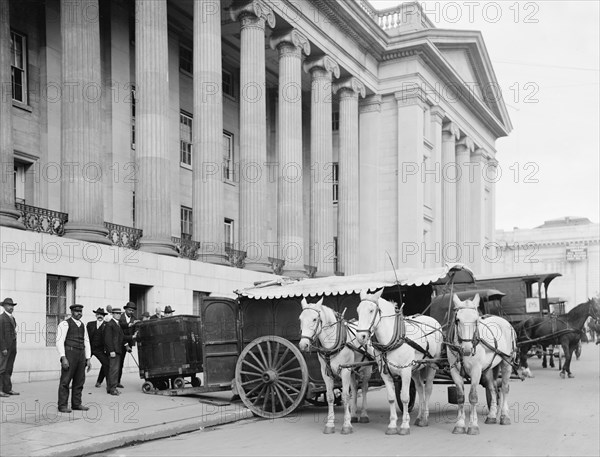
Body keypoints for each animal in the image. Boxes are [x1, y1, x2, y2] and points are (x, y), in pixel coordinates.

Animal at [298, 298, 372, 432]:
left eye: (315, 319)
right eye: (300, 319)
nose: (303, 345)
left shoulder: (345, 370)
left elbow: (345, 396)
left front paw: (346, 425)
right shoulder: (326, 373)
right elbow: (330, 397)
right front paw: (330, 424)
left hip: (366, 368)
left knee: (364, 388)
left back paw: (364, 415)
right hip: (353, 369)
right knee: (354, 388)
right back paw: (354, 415)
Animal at [354, 288, 442, 434]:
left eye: (371, 310)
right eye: (358, 310)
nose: (361, 337)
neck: (391, 341)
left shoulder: (405, 371)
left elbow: (405, 398)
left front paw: (405, 425)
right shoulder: (385, 374)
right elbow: (391, 398)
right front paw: (392, 425)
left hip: (431, 364)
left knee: (428, 388)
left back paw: (425, 417)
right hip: (415, 369)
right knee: (420, 388)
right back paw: (419, 417)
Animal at [448, 294, 516, 432]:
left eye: (476, 320)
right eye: (457, 320)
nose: (467, 349)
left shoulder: (476, 370)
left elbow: (473, 397)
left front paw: (473, 426)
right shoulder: (454, 371)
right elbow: (460, 397)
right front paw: (460, 425)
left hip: (507, 363)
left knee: (504, 388)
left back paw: (504, 416)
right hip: (488, 368)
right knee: (493, 389)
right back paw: (492, 416)